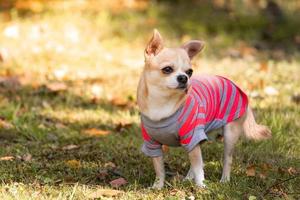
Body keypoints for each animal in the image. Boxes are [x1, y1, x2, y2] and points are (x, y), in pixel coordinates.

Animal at [137, 29, 272, 189]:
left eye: (189, 72)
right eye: (167, 69)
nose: (184, 78)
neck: (162, 102)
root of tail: (234, 85)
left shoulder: (192, 136)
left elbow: (198, 166)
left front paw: (201, 187)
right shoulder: (152, 143)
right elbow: (159, 168)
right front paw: (158, 186)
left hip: (229, 134)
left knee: (226, 159)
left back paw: (224, 180)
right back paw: (188, 178)